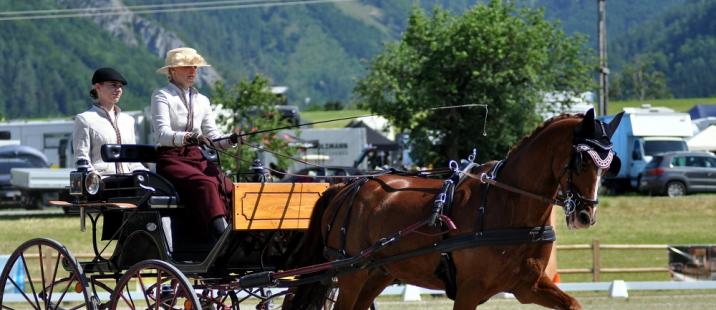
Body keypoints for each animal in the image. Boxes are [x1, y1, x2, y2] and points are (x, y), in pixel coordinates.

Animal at [286, 108, 620, 308]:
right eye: (582, 159)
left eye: (608, 163)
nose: (585, 215)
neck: (508, 205)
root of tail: (348, 187)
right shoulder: (469, 292)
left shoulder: (529, 286)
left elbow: (573, 303)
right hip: (351, 274)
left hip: (377, 273)